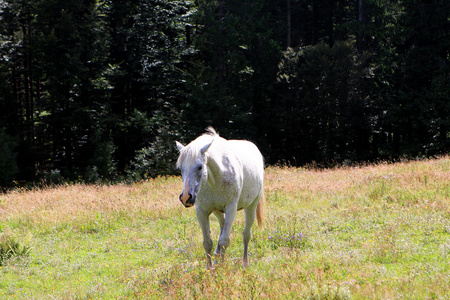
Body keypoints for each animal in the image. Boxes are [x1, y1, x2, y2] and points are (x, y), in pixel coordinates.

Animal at [176, 127, 266, 270]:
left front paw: (222, 269)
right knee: (222, 227)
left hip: (251, 207)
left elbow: (224, 240)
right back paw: (218, 258)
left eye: (200, 167)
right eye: (180, 169)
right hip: (218, 211)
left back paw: (245, 263)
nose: (185, 197)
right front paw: (209, 269)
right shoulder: (201, 211)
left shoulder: (231, 209)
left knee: (246, 234)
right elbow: (207, 242)